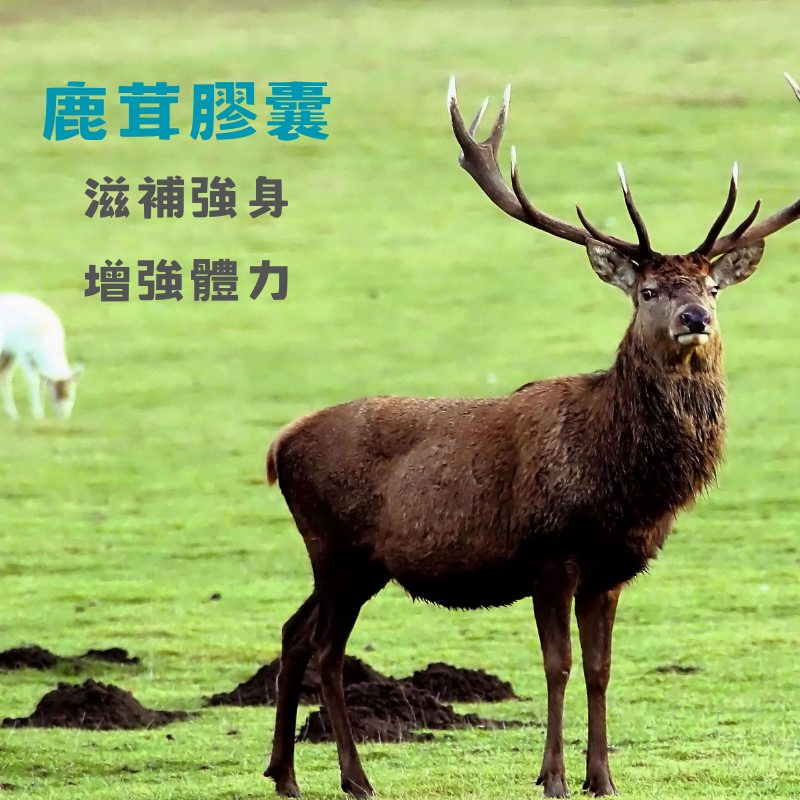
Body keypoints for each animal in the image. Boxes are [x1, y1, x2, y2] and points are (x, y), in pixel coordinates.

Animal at [262, 76, 800, 799]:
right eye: (648, 290)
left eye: (714, 286)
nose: (696, 318)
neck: (626, 488)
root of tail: (279, 446)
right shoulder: (550, 553)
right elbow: (557, 665)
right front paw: (553, 777)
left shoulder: (612, 570)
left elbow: (601, 668)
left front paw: (603, 777)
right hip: (336, 547)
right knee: (326, 648)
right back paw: (355, 777)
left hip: (354, 560)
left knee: (295, 632)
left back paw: (285, 775)